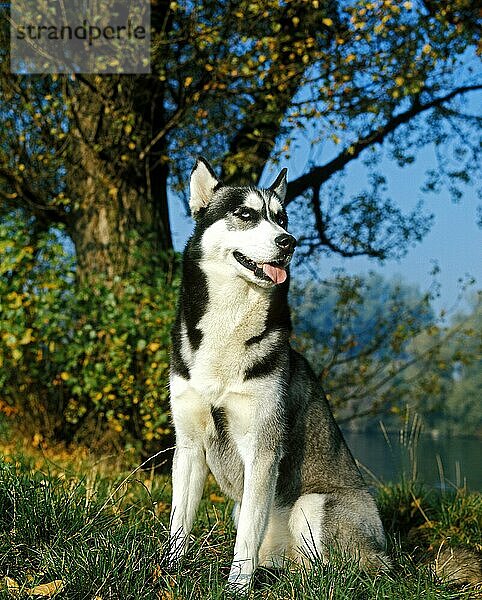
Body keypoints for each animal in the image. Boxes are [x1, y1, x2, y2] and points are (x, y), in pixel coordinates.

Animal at [168, 157, 390, 592]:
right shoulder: (188, 446)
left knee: (339, 573)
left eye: (282, 218)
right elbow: (179, 523)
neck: (228, 327)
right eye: (245, 214)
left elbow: (246, 538)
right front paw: (165, 570)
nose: (289, 242)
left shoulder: (262, 451)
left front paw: (237, 587)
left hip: (313, 505)